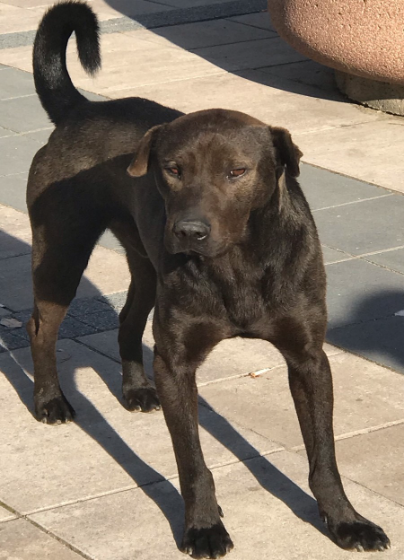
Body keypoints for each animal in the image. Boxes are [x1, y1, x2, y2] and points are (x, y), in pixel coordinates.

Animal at [26, 2, 390, 556]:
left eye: (237, 172)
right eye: (173, 168)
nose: (189, 231)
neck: (237, 264)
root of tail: (79, 112)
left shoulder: (309, 358)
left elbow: (324, 456)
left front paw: (345, 520)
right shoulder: (177, 364)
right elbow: (193, 462)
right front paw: (202, 525)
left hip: (147, 265)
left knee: (128, 318)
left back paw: (135, 387)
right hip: (62, 254)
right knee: (42, 328)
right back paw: (49, 400)